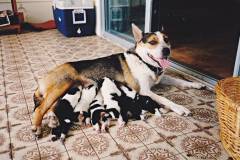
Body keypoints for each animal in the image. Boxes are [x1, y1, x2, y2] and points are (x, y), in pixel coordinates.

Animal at [31, 23, 204, 136]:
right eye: (153, 42)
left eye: (166, 40)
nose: (167, 50)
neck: (144, 61)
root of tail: (42, 79)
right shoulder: (145, 90)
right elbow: (164, 99)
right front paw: (180, 108)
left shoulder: (161, 79)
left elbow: (179, 80)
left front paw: (196, 84)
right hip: (62, 85)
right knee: (40, 109)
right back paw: (37, 127)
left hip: (64, 91)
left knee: (50, 107)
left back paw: (52, 119)